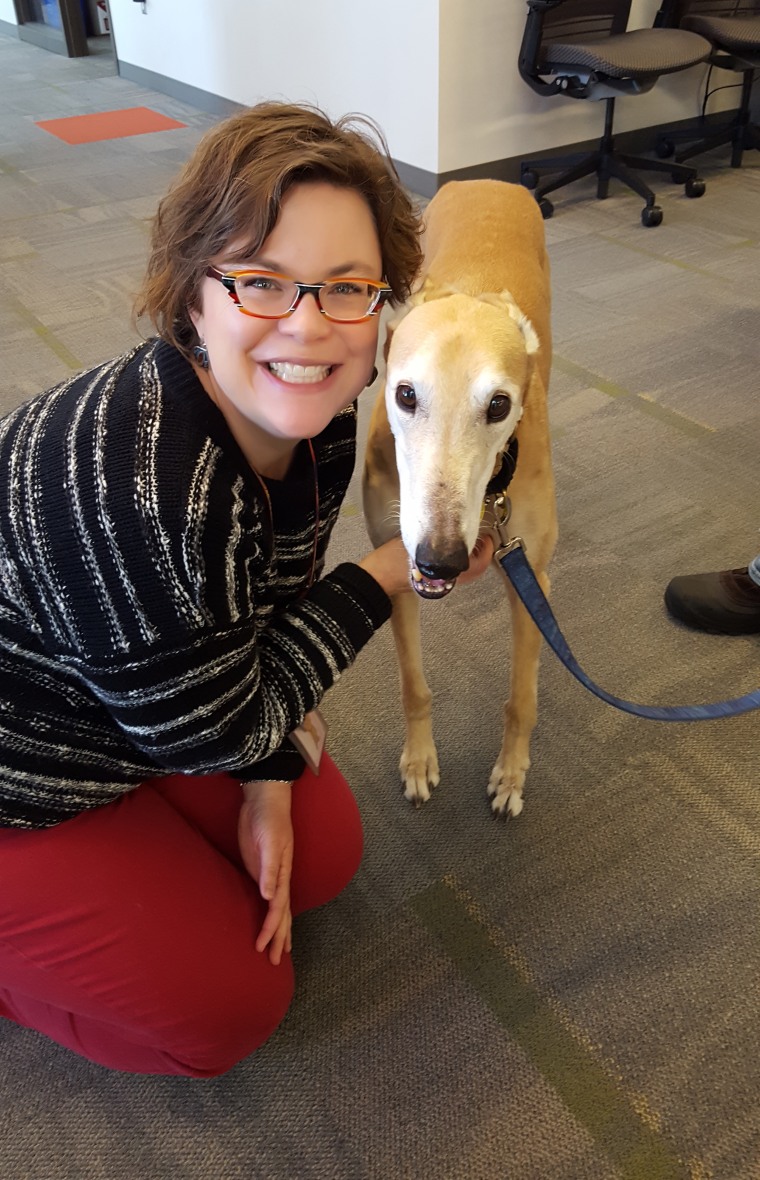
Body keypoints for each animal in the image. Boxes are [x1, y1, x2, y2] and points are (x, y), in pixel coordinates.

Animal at [358, 176, 554, 821]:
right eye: (404, 393)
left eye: (499, 404)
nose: (440, 559)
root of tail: (488, 179)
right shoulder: (397, 570)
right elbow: (412, 684)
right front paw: (419, 762)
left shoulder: (531, 578)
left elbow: (522, 698)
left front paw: (511, 775)